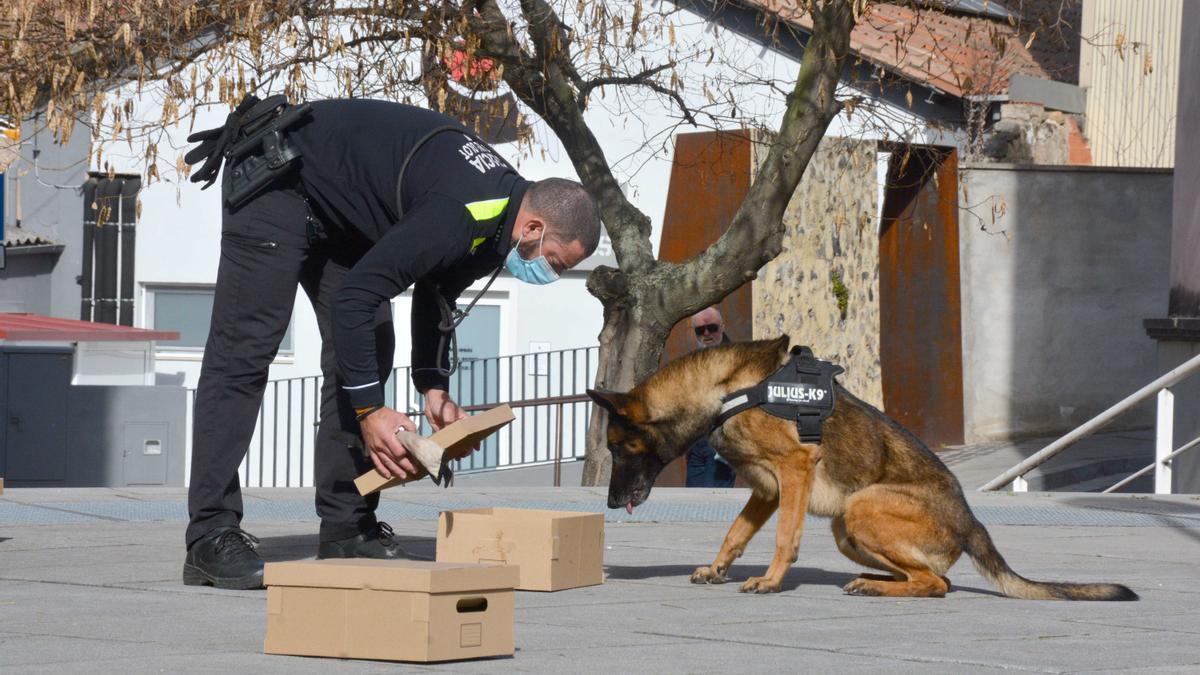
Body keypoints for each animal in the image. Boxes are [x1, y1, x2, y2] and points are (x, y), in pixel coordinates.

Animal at [585, 333, 1137, 595]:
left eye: (618, 447)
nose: (608, 503)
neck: (725, 391)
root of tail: (970, 521)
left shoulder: (796, 470)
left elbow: (783, 539)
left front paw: (770, 581)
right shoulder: (768, 489)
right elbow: (735, 533)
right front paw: (718, 568)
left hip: (861, 507)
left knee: (935, 584)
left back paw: (877, 586)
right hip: (848, 531)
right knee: (927, 578)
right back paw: (875, 582)